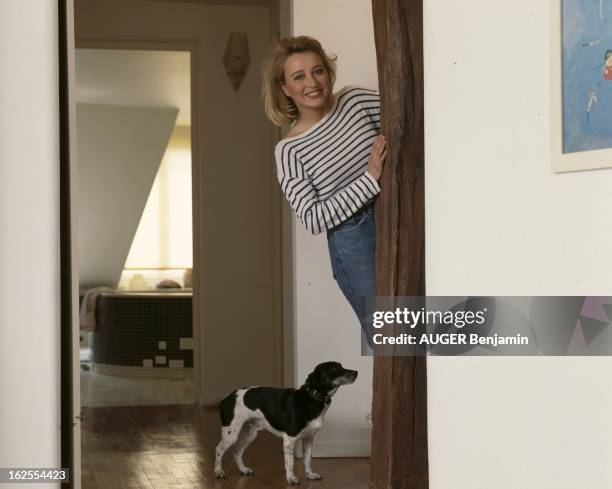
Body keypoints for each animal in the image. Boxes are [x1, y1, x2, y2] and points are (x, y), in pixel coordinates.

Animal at [215, 360, 358, 482]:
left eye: (341, 366)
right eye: (334, 368)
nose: (356, 372)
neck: (312, 397)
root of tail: (227, 398)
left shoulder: (308, 438)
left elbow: (307, 460)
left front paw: (310, 475)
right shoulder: (289, 438)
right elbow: (289, 462)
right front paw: (291, 478)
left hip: (249, 434)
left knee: (237, 451)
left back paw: (243, 470)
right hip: (231, 434)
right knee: (219, 449)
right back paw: (218, 472)